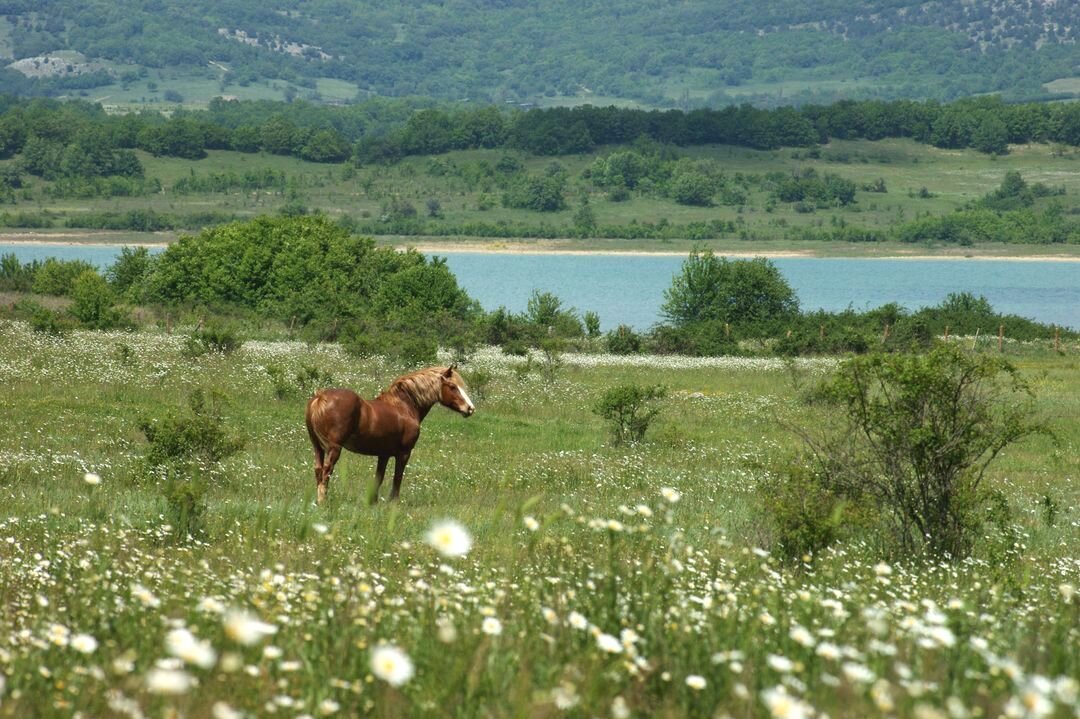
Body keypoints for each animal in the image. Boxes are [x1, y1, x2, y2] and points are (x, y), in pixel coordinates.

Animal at [304, 367, 473, 500]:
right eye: (452, 386)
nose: (470, 408)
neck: (404, 406)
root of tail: (320, 397)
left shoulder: (383, 455)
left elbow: (379, 478)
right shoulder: (404, 453)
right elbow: (397, 478)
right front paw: (393, 503)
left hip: (317, 447)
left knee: (318, 470)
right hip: (334, 448)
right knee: (326, 472)